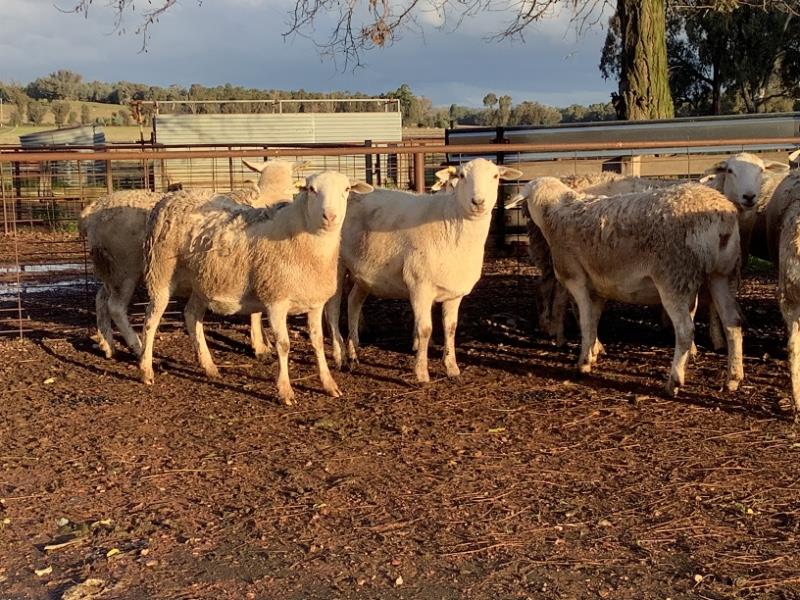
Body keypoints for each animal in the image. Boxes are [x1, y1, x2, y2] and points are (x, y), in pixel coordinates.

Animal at [78, 159, 306, 359]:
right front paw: (259, 346)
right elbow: (256, 313)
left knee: (100, 298)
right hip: (124, 269)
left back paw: (107, 345)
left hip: (109, 267)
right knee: (115, 307)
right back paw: (136, 346)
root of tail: (91, 210)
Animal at [138, 172, 373, 405]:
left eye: (346, 190)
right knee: (151, 321)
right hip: (160, 272)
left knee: (191, 315)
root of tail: (170, 197)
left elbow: (317, 343)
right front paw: (285, 391)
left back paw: (209, 367)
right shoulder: (275, 300)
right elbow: (284, 345)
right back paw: (146, 370)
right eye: (311, 189)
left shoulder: (314, 302)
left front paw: (329, 384)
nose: (330, 216)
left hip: (203, 281)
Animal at [325, 157, 522, 382]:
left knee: (353, 301)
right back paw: (339, 356)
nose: (478, 202)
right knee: (333, 308)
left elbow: (451, 328)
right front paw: (421, 373)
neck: (451, 224)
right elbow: (425, 329)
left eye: (495, 176)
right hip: (337, 263)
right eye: (461, 176)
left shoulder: (454, 292)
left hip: (365, 270)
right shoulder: (420, 286)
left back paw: (354, 352)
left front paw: (452, 368)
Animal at [510, 178, 744, 397]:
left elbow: (585, 321)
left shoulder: (576, 279)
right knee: (732, 322)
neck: (554, 213)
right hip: (722, 273)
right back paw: (733, 378)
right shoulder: (598, 286)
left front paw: (583, 363)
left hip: (674, 275)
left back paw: (674, 382)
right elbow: (594, 320)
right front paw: (594, 353)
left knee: (686, 331)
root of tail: (721, 220)